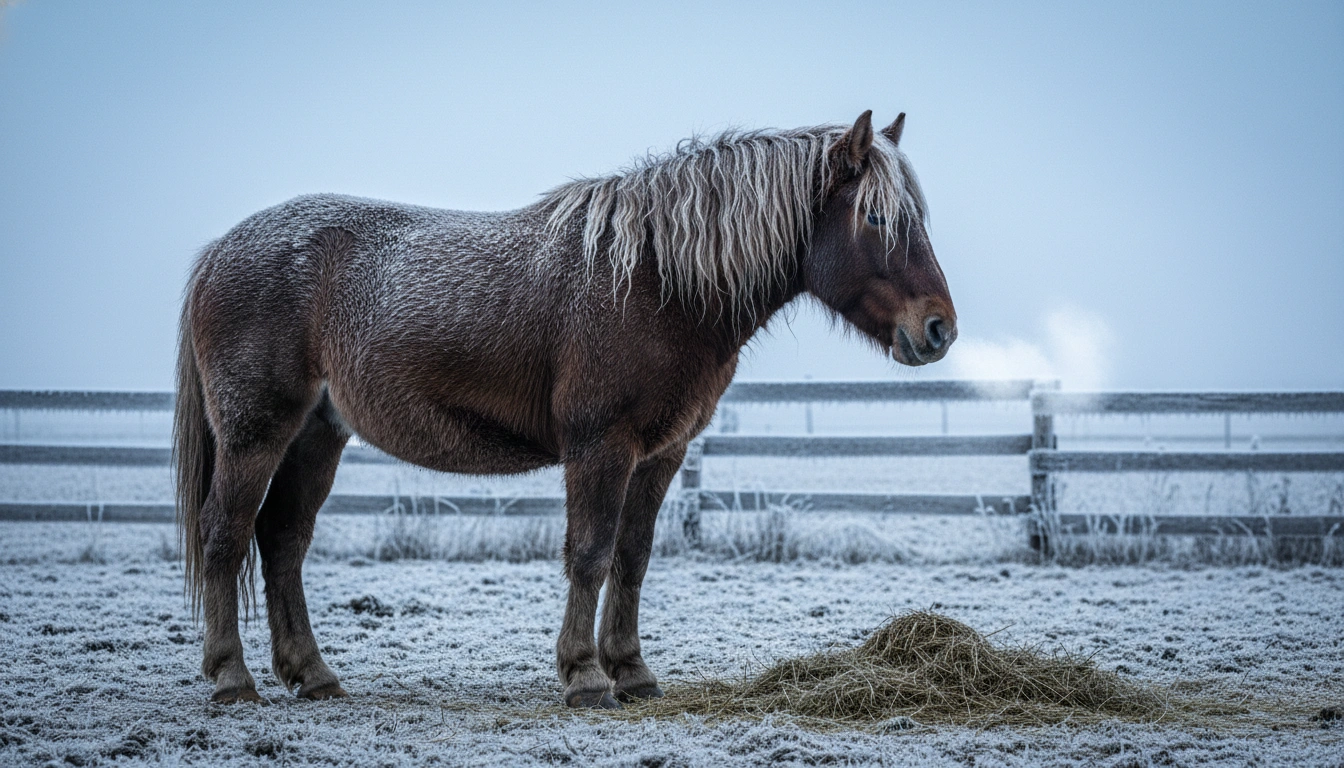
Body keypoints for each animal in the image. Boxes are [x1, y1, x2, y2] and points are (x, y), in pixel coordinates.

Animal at [173, 110, 957, 708]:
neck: (656, 281)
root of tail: (217, 253)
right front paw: (584, 677)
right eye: (878, 217)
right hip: (255, 433)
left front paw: (632, 671)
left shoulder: (661, 453)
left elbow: (633, 558)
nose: (938, 330)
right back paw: (232, 678)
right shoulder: (599, 447)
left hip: (316, 435)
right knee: (225, 536)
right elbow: (589, 554)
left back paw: (313, 676)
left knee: (282, 542)